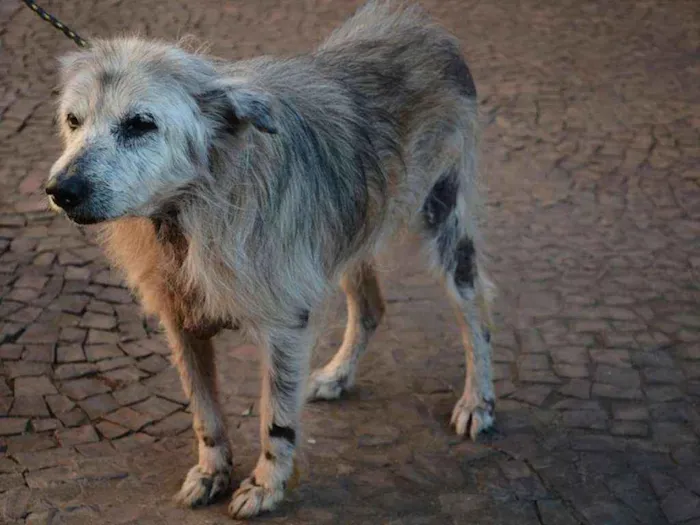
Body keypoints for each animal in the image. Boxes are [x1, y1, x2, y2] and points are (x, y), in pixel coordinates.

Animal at [46, 0, 494, 516]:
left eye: (140, 123)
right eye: (74, 121)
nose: (60, 190)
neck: (192, 209)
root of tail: (419, 22)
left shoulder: (286, 326)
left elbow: (276, 420)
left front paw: (265, 486)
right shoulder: (180, 324)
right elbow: (205, 414)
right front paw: (212, 472)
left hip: (443, 218)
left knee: (475, 312)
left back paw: (478, 401)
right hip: (344, 236)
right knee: (371, 308)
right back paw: (339, 375)